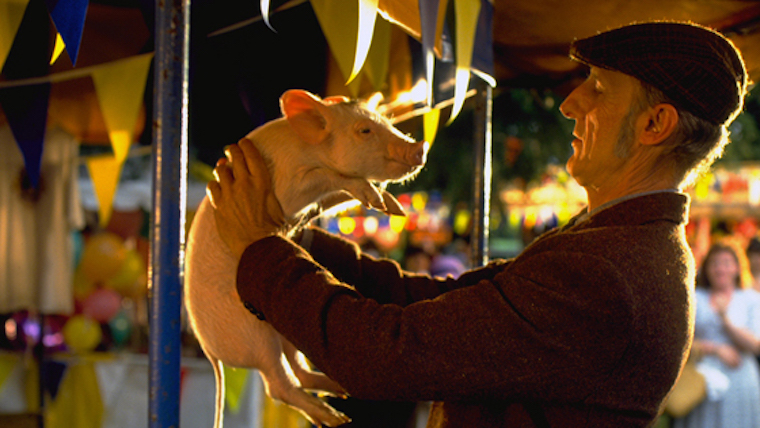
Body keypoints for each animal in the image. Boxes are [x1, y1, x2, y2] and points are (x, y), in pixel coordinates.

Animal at [184, 89, 429, 428]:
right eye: (364, 130)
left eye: (388, 123)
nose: (421, 147)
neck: (309, 150)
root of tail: (211, 352)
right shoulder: (291, 185)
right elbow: (331, 177)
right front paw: (381, 200)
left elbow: (343, 195)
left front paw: (391, 206)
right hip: (253, 334)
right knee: (278, 385)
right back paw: (335, 417)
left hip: (281, 330)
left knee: (298, 370)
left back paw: (338, 391)